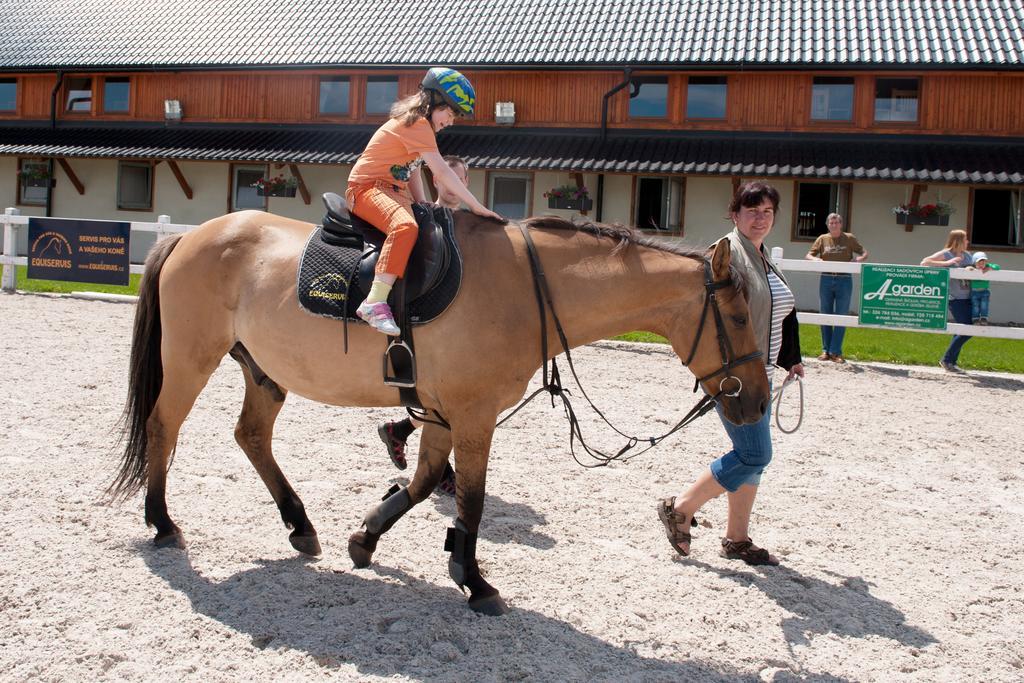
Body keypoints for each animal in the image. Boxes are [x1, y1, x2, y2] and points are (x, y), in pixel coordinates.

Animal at [110, 208, 770, 614]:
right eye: (740, 316)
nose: (758, 401)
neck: (526, 287)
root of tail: (191, 235)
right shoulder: (473, 415)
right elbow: (470, 500)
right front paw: (473, 580)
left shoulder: (441, 413)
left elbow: (425, 482)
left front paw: (365, 539)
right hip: (191, 356)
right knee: (163, 427)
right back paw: (162, 521)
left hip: (262, 371)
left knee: (251, 436)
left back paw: (300, 525)